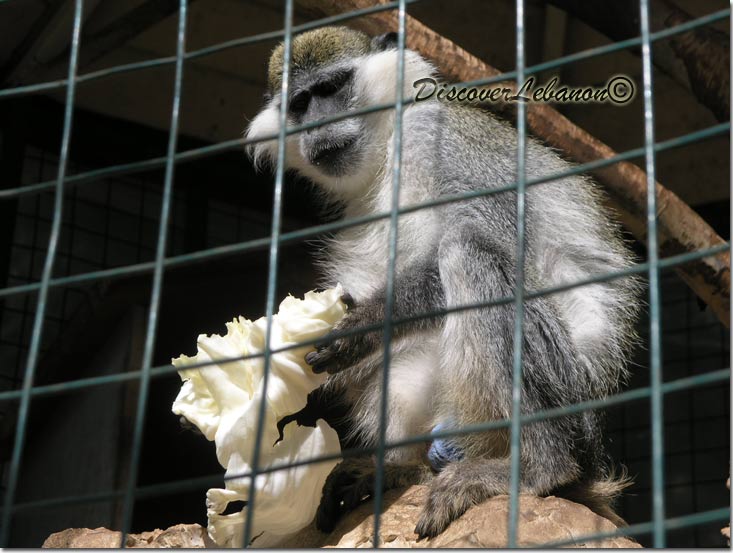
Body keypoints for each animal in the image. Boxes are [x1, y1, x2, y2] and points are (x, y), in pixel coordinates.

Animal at [246, 26, 641, 539]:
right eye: (299, 103)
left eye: (332, 88)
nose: (316, 125)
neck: (388, 148)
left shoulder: (441, 140)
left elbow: (492, 241)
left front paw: (364, 324)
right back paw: (399, 469)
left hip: (573, 395)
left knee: (468, 251)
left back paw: (539, 467)